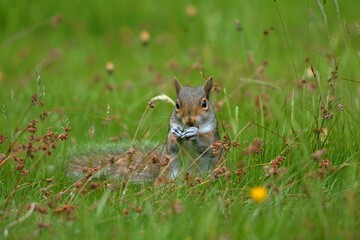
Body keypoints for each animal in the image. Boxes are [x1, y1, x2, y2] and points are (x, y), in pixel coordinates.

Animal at [66, 77, 221, 182]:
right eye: (177, 105)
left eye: (204, 103)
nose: (189, 121)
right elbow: (171, 147)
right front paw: (175, 134)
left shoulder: (212, 136)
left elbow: (208, 147)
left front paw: (195, 133)